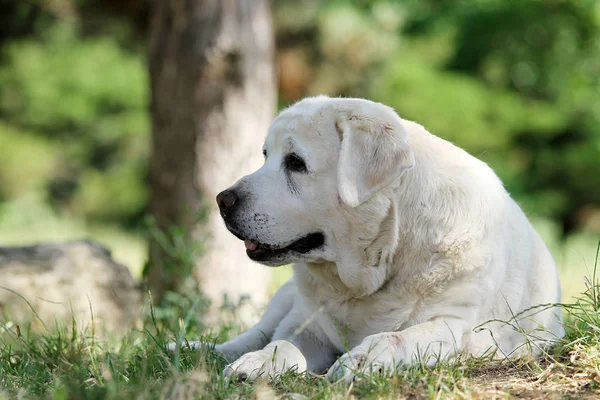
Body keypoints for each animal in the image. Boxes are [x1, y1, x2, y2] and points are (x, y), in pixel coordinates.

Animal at [172, 96, 564, 382]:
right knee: (256, 332)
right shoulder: (309, 322)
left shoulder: (456, 327)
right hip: (286, 298)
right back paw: (195, 349)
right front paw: (258, 363)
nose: (222, 200)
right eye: (266, 156)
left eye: (295, 162)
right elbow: (282, 343)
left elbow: (395, 336)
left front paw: (362, 359)